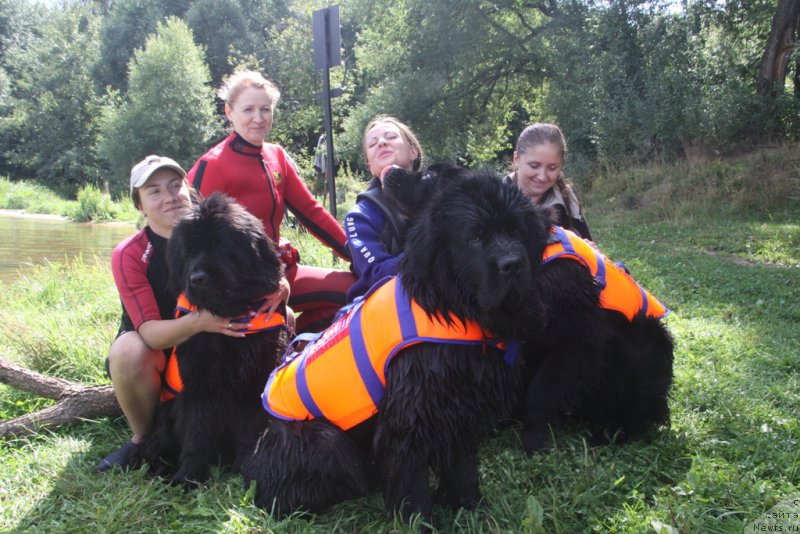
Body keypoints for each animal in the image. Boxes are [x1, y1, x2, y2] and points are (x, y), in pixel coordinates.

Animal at [382, 165, 676, 454]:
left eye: (428, 175)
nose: (390, 169)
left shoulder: (577, 332)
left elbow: (542, 390)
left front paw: (535, 438)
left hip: (645, 339)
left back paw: (613, 431)